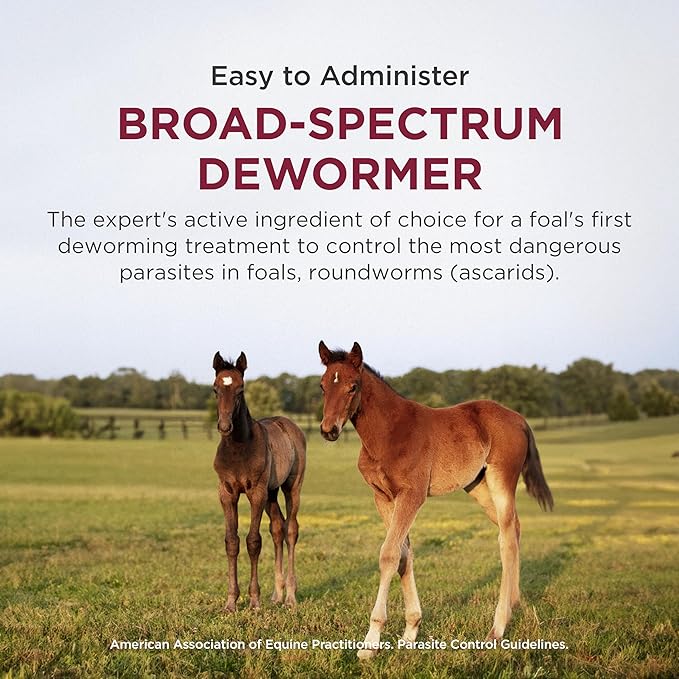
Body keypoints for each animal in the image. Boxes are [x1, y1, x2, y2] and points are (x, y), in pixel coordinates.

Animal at [212, 351, 306, 611]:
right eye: (215, 388)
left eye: (241, 389)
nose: (224, 426)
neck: (238, 449)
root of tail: (289, 424)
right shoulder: (227, 493)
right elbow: (231, 541)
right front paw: (231, 601)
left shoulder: (256, 493)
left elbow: (253, 541)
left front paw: (254, 600)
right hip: (271, 494)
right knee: (278, 528)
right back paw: (277, 594)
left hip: (290, 487)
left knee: (291, 529)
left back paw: (290, 597)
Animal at [318, 341, 553, 659]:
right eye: (322, 386)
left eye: (353, 386)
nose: (328, 430)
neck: (389, 433)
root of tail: (519, 419)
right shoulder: (383, 497)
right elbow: (404, 555)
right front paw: (410, 632)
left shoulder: (412, 496)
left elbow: (388, 554)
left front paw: (370, 642)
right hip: (476, 486)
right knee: (515, 528)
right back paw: (514, 605)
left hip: (501, 479)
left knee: (506, 539)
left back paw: (497, 628)